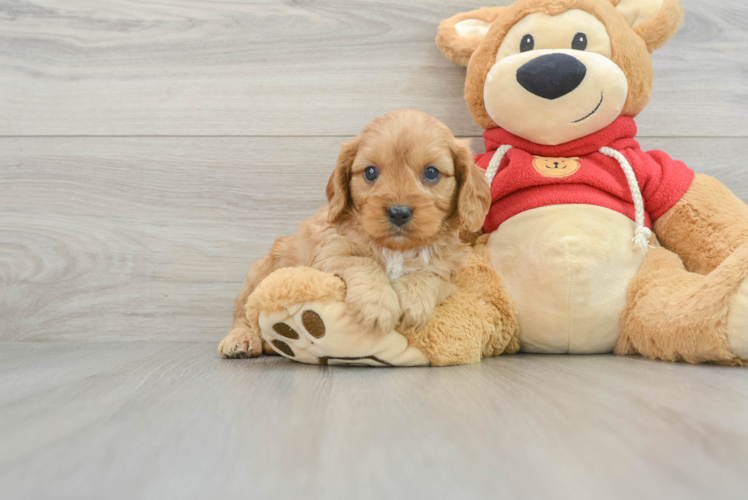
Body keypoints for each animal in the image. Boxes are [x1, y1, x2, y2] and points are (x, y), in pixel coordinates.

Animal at [219, 109, 494, 360]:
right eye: (371, 172)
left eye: (431, 172)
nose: (398, 213)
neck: (397, 249)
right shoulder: (328, 256)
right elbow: (363, 261)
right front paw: (377, 306)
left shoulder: (449, 274)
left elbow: (429, 274)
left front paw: (413, 301)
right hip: (258, 273)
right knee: (244, 314)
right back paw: (241, 340)